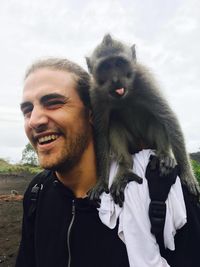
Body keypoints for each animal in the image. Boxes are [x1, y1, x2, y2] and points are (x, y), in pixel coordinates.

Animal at [86, 34, 200, 207]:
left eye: (119, 63)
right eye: (105, 67)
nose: (115, 80)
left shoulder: (144, 81)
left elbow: (168, 117)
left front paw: (187, 175)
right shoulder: (96, 94)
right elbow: (101, 134)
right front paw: (101, 182)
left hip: (148, 141)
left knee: (157, 119)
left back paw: (164, 155)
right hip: (133, 144)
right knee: (114, 123)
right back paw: (126, 166)